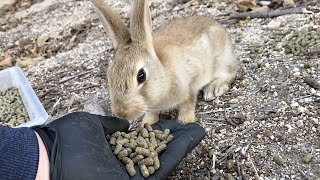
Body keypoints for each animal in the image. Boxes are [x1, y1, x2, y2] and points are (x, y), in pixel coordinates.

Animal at [90, 0, 238, 125]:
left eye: (141, 75)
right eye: (109, 75)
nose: (121, 113)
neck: (163, 73)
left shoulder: (191, 81)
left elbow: (188, 102)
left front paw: (185, 120)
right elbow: (151, 112)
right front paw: (147, 123)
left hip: (222, 59)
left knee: (230, 73)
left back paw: (214, 89)